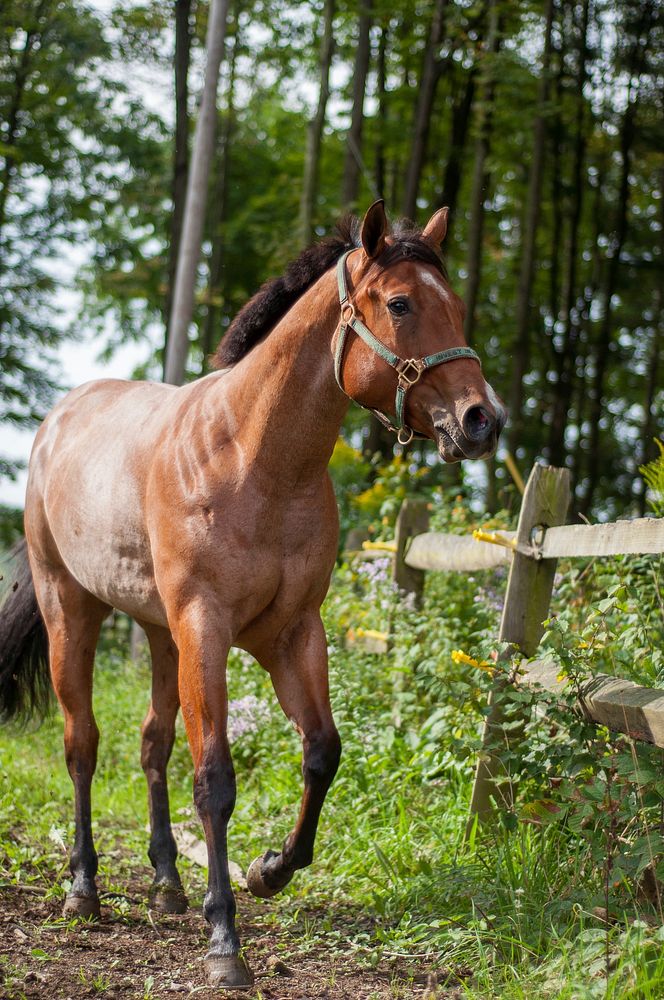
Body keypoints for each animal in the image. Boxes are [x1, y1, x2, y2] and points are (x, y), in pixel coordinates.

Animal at [0, 201, 504, 984]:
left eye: (453, 303)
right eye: (399, 304)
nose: (483, 419)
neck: (249, 457)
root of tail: (59, 421)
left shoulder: (292, 632)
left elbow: (322, 752)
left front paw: (270, 870)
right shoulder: (206, 627)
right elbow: (215, 778)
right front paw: (224, 941)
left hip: (159, 633)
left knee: (151, 744)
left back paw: (167, 883)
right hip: (72, 611)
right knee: (83, 744)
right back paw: (84, 887)